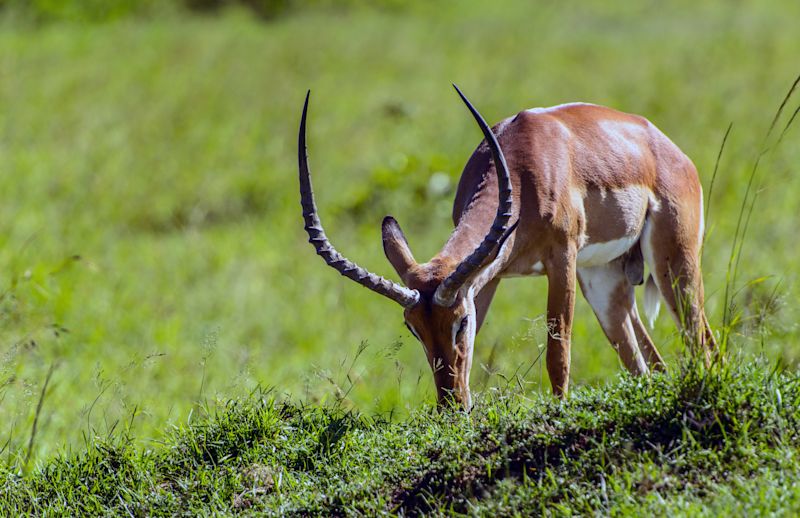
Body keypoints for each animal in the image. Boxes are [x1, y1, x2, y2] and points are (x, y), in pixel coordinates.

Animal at [296, 86, 716, 410]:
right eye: (414, 329)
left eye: (460, 322)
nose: (452, 407)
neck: (526, 168)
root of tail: (667, 147)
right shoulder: (486, 278)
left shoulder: (561, 257)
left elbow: (558, 352)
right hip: (604, 282)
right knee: (650, 365)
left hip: (673, 264)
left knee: (704, 346)